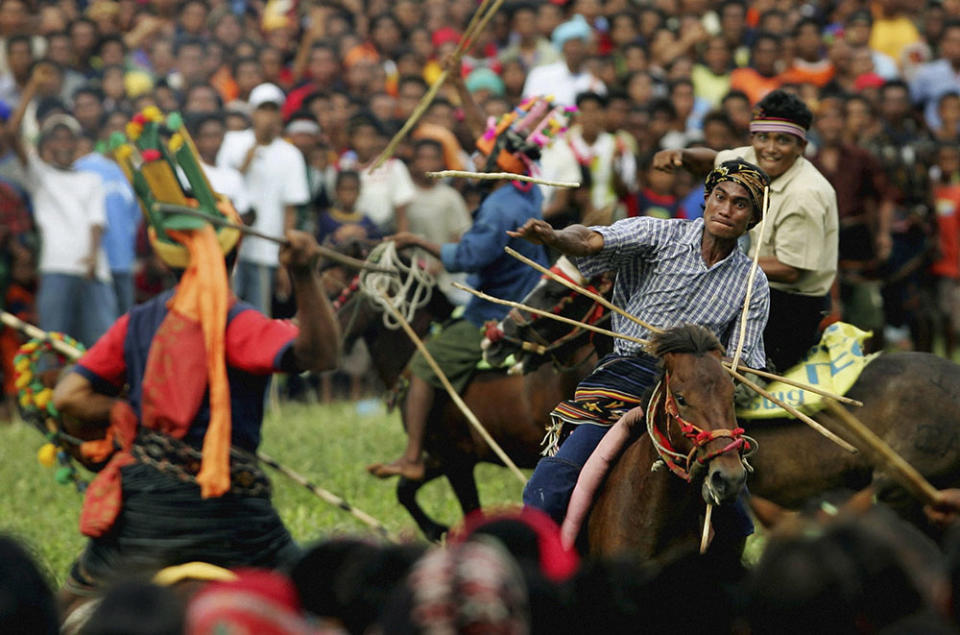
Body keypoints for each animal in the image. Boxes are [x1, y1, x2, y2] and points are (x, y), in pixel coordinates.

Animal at [334, 256, 612, 540]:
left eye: (343, 291)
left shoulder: (455, 457)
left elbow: (468, 510)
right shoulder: (440, 456)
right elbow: (404, 491)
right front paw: (436, 529)